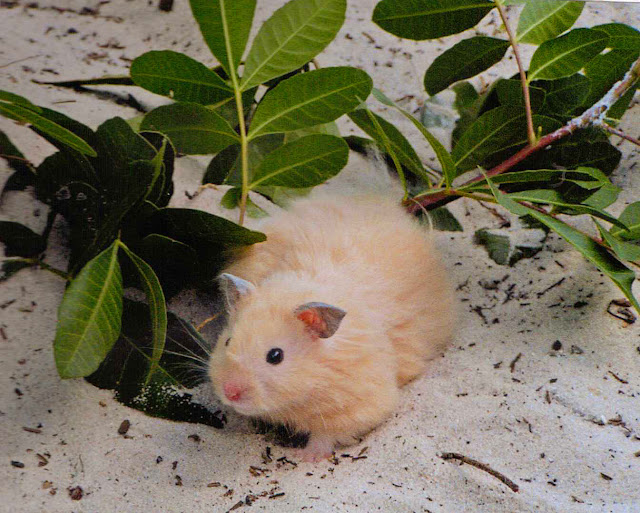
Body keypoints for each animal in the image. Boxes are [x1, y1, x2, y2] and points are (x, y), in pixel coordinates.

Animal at [208, 186, 455, 462]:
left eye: (275, 356)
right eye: (227, 341)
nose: (230, 392)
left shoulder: (360, 405)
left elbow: (326, 435)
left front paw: (308, 458)